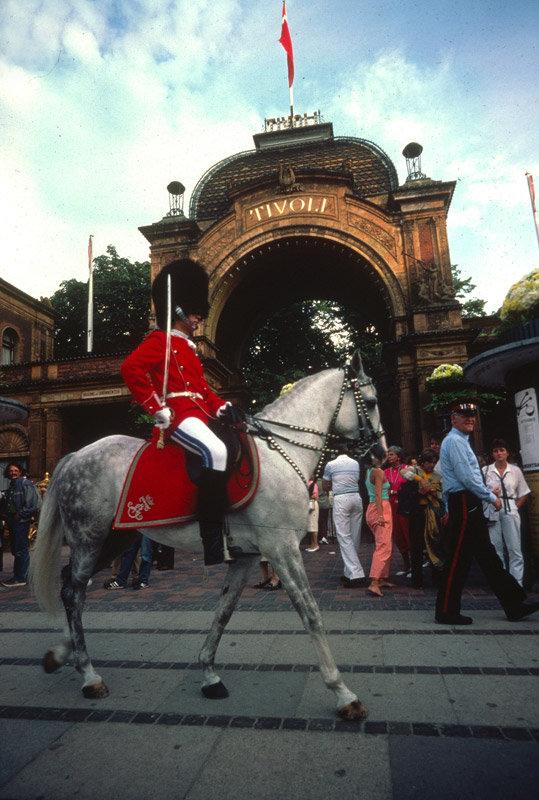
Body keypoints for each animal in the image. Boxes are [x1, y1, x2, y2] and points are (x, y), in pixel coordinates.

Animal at [29, 354, 386, 720]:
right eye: (372, 402)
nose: (381, 454)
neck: (280, 455)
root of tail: (76, 455)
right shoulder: (282, 549)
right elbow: (311, 613)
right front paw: (343, 692)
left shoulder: (246, 557)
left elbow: (224, 611)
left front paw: (209, 674)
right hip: (89, 538)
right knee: (73, 592)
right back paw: (88, 674)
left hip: (114, 540)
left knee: (70, 586)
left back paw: (63, 654)